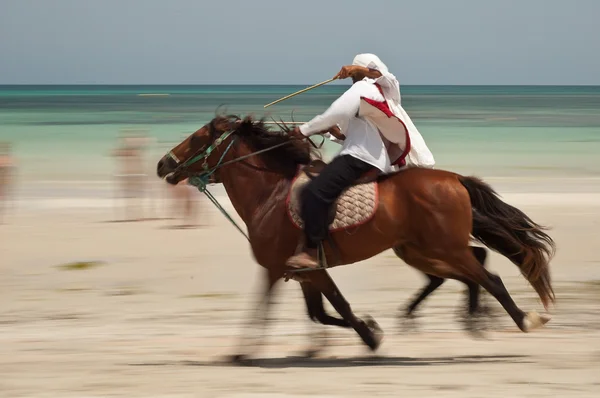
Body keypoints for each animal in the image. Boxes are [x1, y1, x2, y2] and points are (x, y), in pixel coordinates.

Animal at [157, 114, 556, 358]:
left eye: (197, 137)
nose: (163, 164)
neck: (270, 194)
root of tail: (455, 178)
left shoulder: (281, 269)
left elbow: (323, 307)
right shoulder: (305, 272)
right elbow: (322, 313)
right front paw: (366, 330)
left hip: (442, 248)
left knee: (489, 277)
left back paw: (522, 319)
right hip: (422, 249)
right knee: (472, 269)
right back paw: (471, 316)